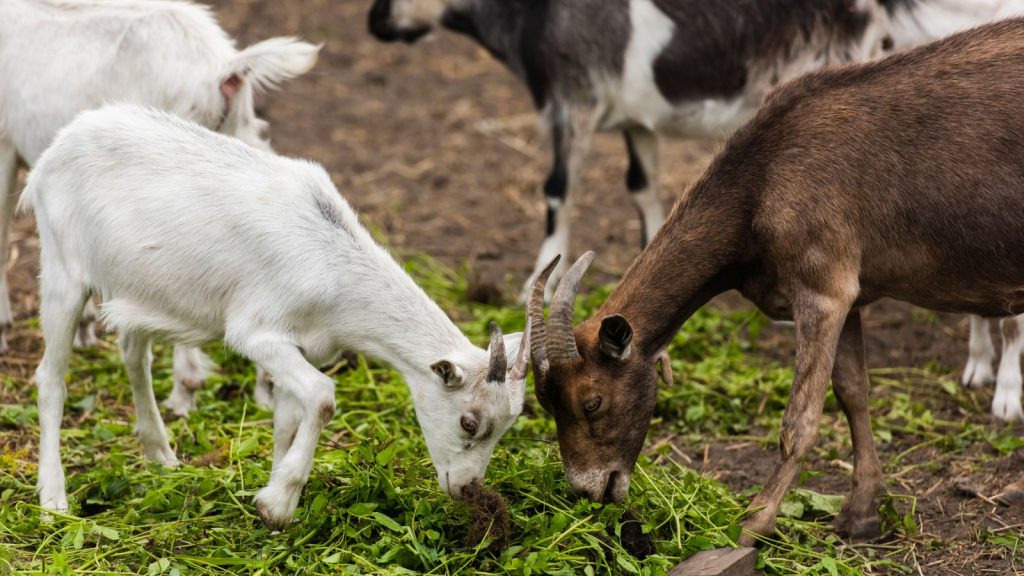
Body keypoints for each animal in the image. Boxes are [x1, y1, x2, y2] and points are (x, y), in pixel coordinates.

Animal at [0, 0, 320, 416]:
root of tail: (222, 70)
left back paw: (186, 389)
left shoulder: (4, 141)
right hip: (240, 138)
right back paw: (264, 391)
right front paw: (85, 327)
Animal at [21, 105, 539, 530]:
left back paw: (162, 456)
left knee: (133, 354)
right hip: (63, 270)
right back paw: (54, 501)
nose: (467, 489)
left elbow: (290, 416)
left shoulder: (303, 345)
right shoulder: (256, 333)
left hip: (136, 287)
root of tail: (60, 144)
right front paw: (278, 503)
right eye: (469, 422)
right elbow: (323, 398)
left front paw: (270, 497)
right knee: (51, 377)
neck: (334, 267)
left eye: (508, 426)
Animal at [526, 20, 1024, 545]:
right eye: (545, 402)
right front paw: (861, 513)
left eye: (592, 401)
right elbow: (853, 392)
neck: (764, 179)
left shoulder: (822, 287)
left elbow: (800, 420)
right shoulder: (850, 295)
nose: (588, 490)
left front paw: (752, 523)